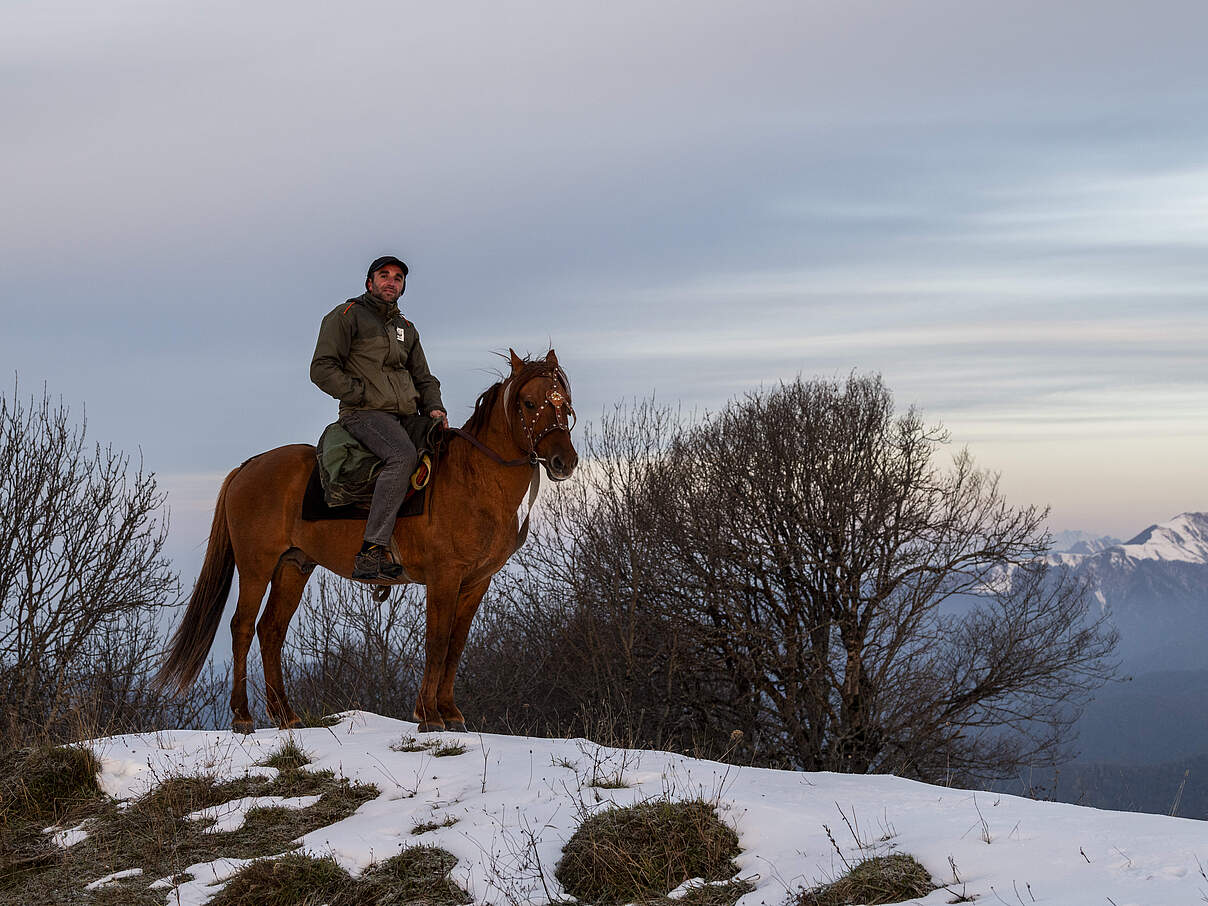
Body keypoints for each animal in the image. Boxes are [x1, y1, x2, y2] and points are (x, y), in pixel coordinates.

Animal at [153, 350, 577, 734]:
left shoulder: (476, 582)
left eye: (566, 404)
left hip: (293, 566)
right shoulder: (444, 577)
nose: (565, 462)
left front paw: (450, 713)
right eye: (529, 403)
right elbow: (437, 641)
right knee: (242, 627)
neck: (475, 479)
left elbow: (456, 644)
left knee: (271, 630)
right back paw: (243, 717)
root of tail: (249, 466)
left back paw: (286, 716)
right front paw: (429, 716)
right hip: (257, 565)